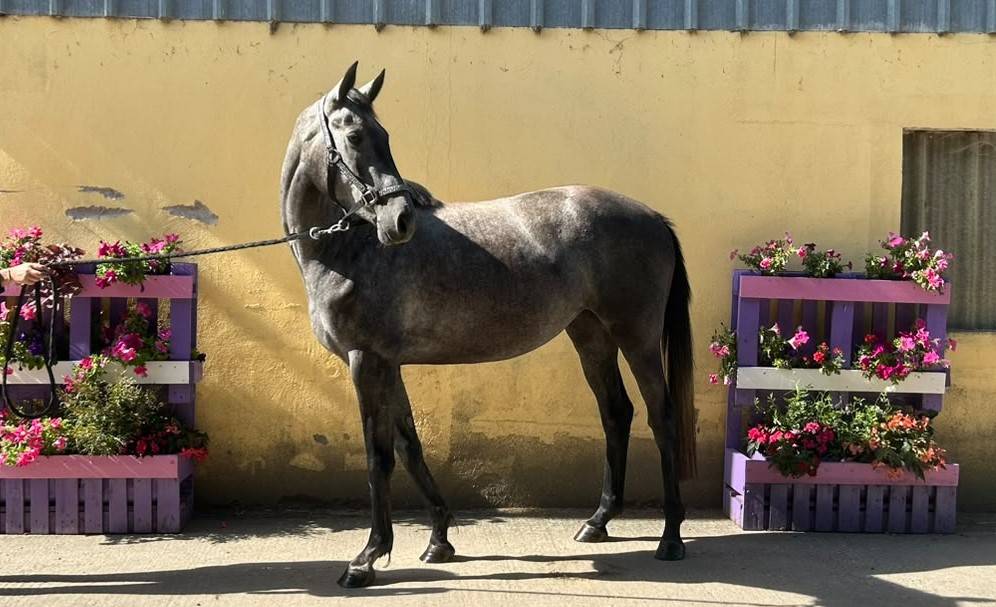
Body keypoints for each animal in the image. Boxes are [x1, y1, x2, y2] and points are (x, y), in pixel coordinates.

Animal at [280, 62, 697, 588]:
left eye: (383, 135)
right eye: (354, 135)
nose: (400, 220)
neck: (347, 250)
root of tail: (654, 217)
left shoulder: (366, 362)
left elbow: (379, 457)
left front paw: (368, 557)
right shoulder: (387, 365)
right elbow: (409, 445)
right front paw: (439, 539)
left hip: (636, 337)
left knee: (661, 418)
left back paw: (671, 538)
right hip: (590, 334)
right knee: (616, 413)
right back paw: (597, 522)